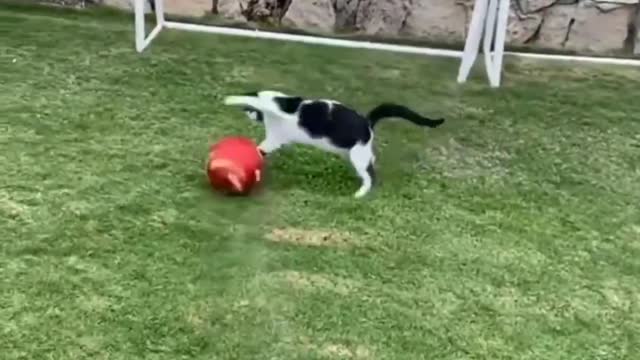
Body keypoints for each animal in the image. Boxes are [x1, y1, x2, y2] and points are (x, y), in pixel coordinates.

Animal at [225, 89, 444, 197]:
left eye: (250, 111)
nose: (246, 113)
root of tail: (367, 122)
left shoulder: (279, 106)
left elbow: (255, 99)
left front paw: (230, 99)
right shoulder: (275, 139)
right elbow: (260, 149)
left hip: (357, 156)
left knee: (370, 176)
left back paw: (360, 193)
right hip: (357, 152)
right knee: (372, 162)